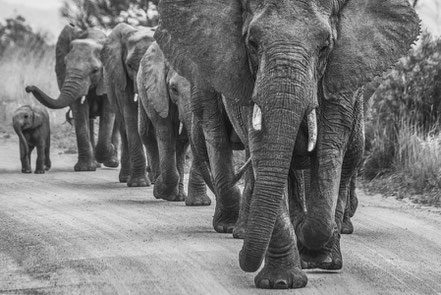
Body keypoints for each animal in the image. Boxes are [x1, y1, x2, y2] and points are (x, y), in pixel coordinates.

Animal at [25, 24, 117, 172]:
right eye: (64, 65)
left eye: (95, 70)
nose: (29, 87)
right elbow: (79, 111)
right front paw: (85, 169)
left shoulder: (109, 77)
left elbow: (108, 112)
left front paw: (108, 151)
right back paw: (97, 163)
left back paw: (112, 162)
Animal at [100, 23, 156, 187]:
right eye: (130, 65)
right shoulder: (121, 76)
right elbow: (130, 116)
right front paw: (139, 184)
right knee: (123, 126)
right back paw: (126, 178)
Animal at [136, 41, 211, 206]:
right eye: (173, 88)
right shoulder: (158, 91)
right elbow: (165, 132)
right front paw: (160, 191)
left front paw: (199, 203)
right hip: (143, 89)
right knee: (147, 134)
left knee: (182, 143)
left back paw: (179, 197)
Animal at [156, 0, 420, 292]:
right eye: (252, 43)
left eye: (325, 46)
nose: (241, 255)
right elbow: (265, 153)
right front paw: (281, 281)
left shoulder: (340, 77)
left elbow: (329, 150)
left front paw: (315, 252)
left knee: (347, 159)